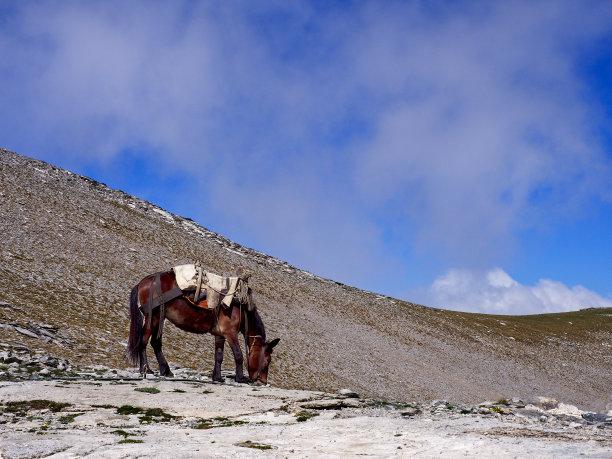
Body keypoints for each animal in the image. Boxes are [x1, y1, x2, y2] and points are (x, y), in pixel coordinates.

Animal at [126, 272, 280, 386]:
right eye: (268, 360)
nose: (262, 382)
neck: (242, 309)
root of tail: (144, 281)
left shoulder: (220, 335)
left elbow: (219, 356)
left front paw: (217, 377)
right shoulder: (230, 333)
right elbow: (238, 355)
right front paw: (240, 378)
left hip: (160, 317)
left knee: (156, 343)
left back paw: (166, 371)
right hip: (153, 316)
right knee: (144, 340)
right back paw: (146, 369)